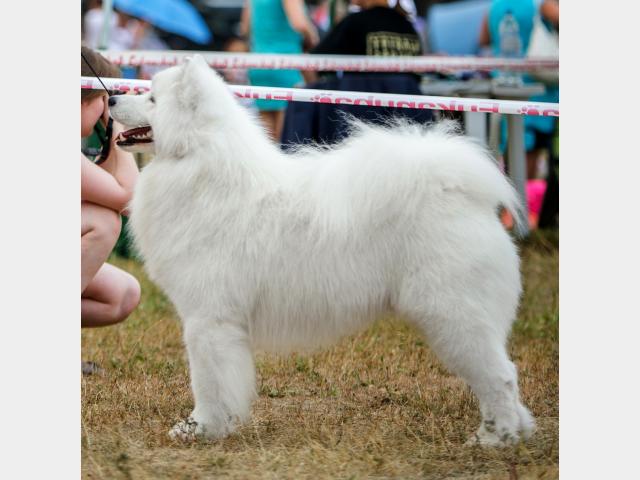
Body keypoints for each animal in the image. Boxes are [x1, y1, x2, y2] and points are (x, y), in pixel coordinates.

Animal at [110, 55, 536, 446]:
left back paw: (495, 439)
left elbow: (209, 383)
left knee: (501, 377)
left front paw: (202, 428)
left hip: (454, 315)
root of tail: (460, 192)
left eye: (152, 98)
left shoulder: (208, 319)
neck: (201, 165)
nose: (111, 97)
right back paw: (511, 432)